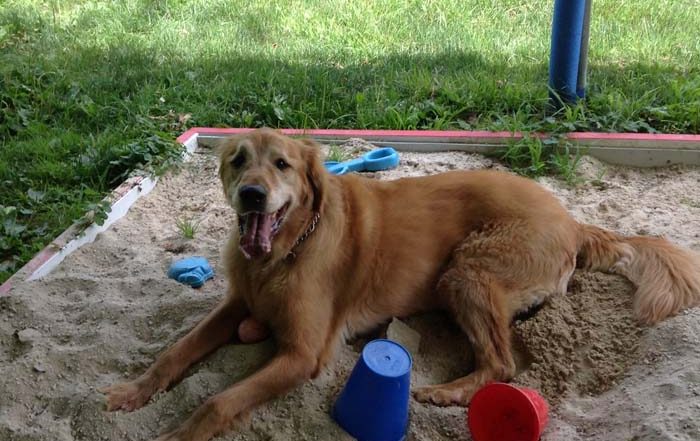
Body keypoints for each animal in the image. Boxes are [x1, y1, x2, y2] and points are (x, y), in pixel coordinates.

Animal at [101, 128, 700, 440]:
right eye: (238, 160)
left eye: (282, 165)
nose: (251, 194)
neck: (282, 255)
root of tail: (572, 219)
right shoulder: (233, 307)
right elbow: (175, 352)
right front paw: (134, 391)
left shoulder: (303, 354)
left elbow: (219, 400)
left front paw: (179, 434)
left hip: (466, 270)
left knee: (502, 364)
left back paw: (444, 390)